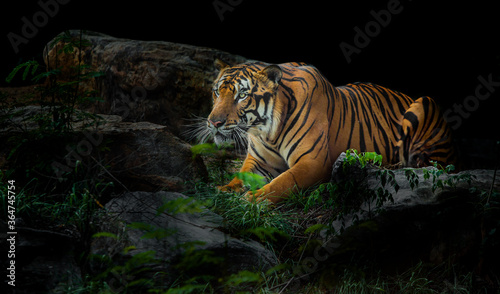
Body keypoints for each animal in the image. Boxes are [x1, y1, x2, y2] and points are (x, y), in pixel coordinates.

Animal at [189, 58, 458, 203]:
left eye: (242, 95)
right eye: (217, 92)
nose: (214, 122)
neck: (266, 130)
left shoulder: (313, 162)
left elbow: (282, 183)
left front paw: (253, 199)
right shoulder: (259, 161)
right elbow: (241, 177)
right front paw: (222, 190)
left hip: (425, 103)